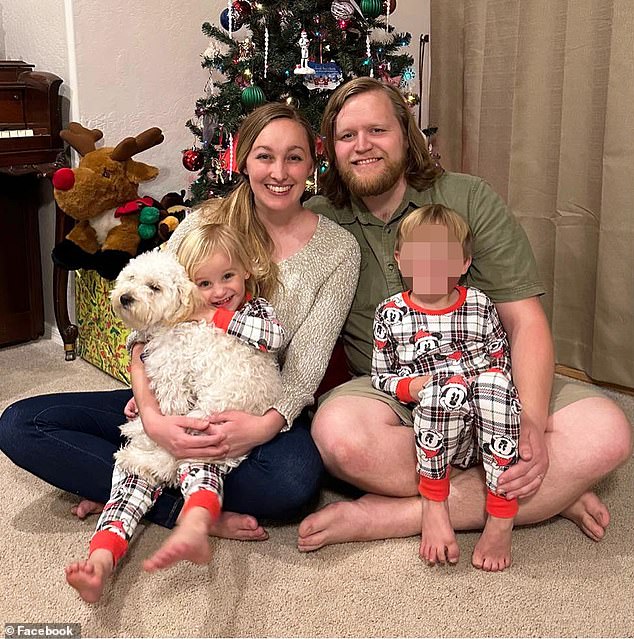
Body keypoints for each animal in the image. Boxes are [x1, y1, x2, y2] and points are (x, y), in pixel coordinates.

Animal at [109, 249, 282, 484]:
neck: (171, 324)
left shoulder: (173, 386)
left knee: (170, 460)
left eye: (154, 287)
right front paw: (137, 426)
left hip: (206, 414)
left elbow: (165, 421)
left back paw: (135, 459)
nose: (125, 297)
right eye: (131, 278)